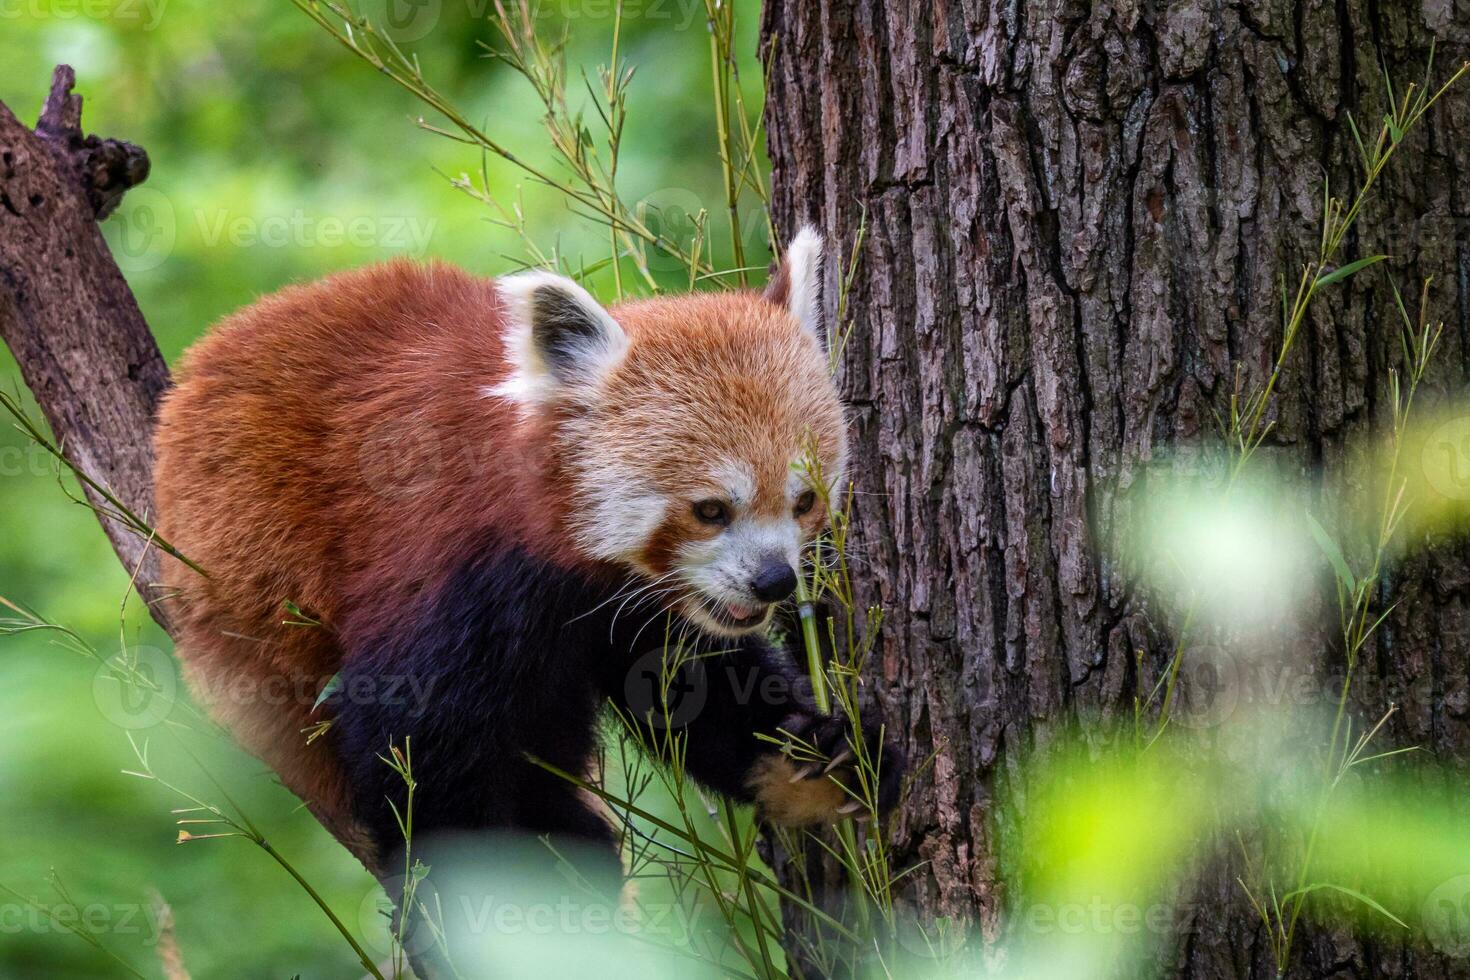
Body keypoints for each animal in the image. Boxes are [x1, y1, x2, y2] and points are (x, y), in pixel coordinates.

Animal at [155, 224, 899, 922]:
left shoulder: (637, 606)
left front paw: (823, 755)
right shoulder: (447, 569)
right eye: (710, 509)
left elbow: (696, 690)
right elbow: (418, 754)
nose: (774, 581)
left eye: (803, 501)